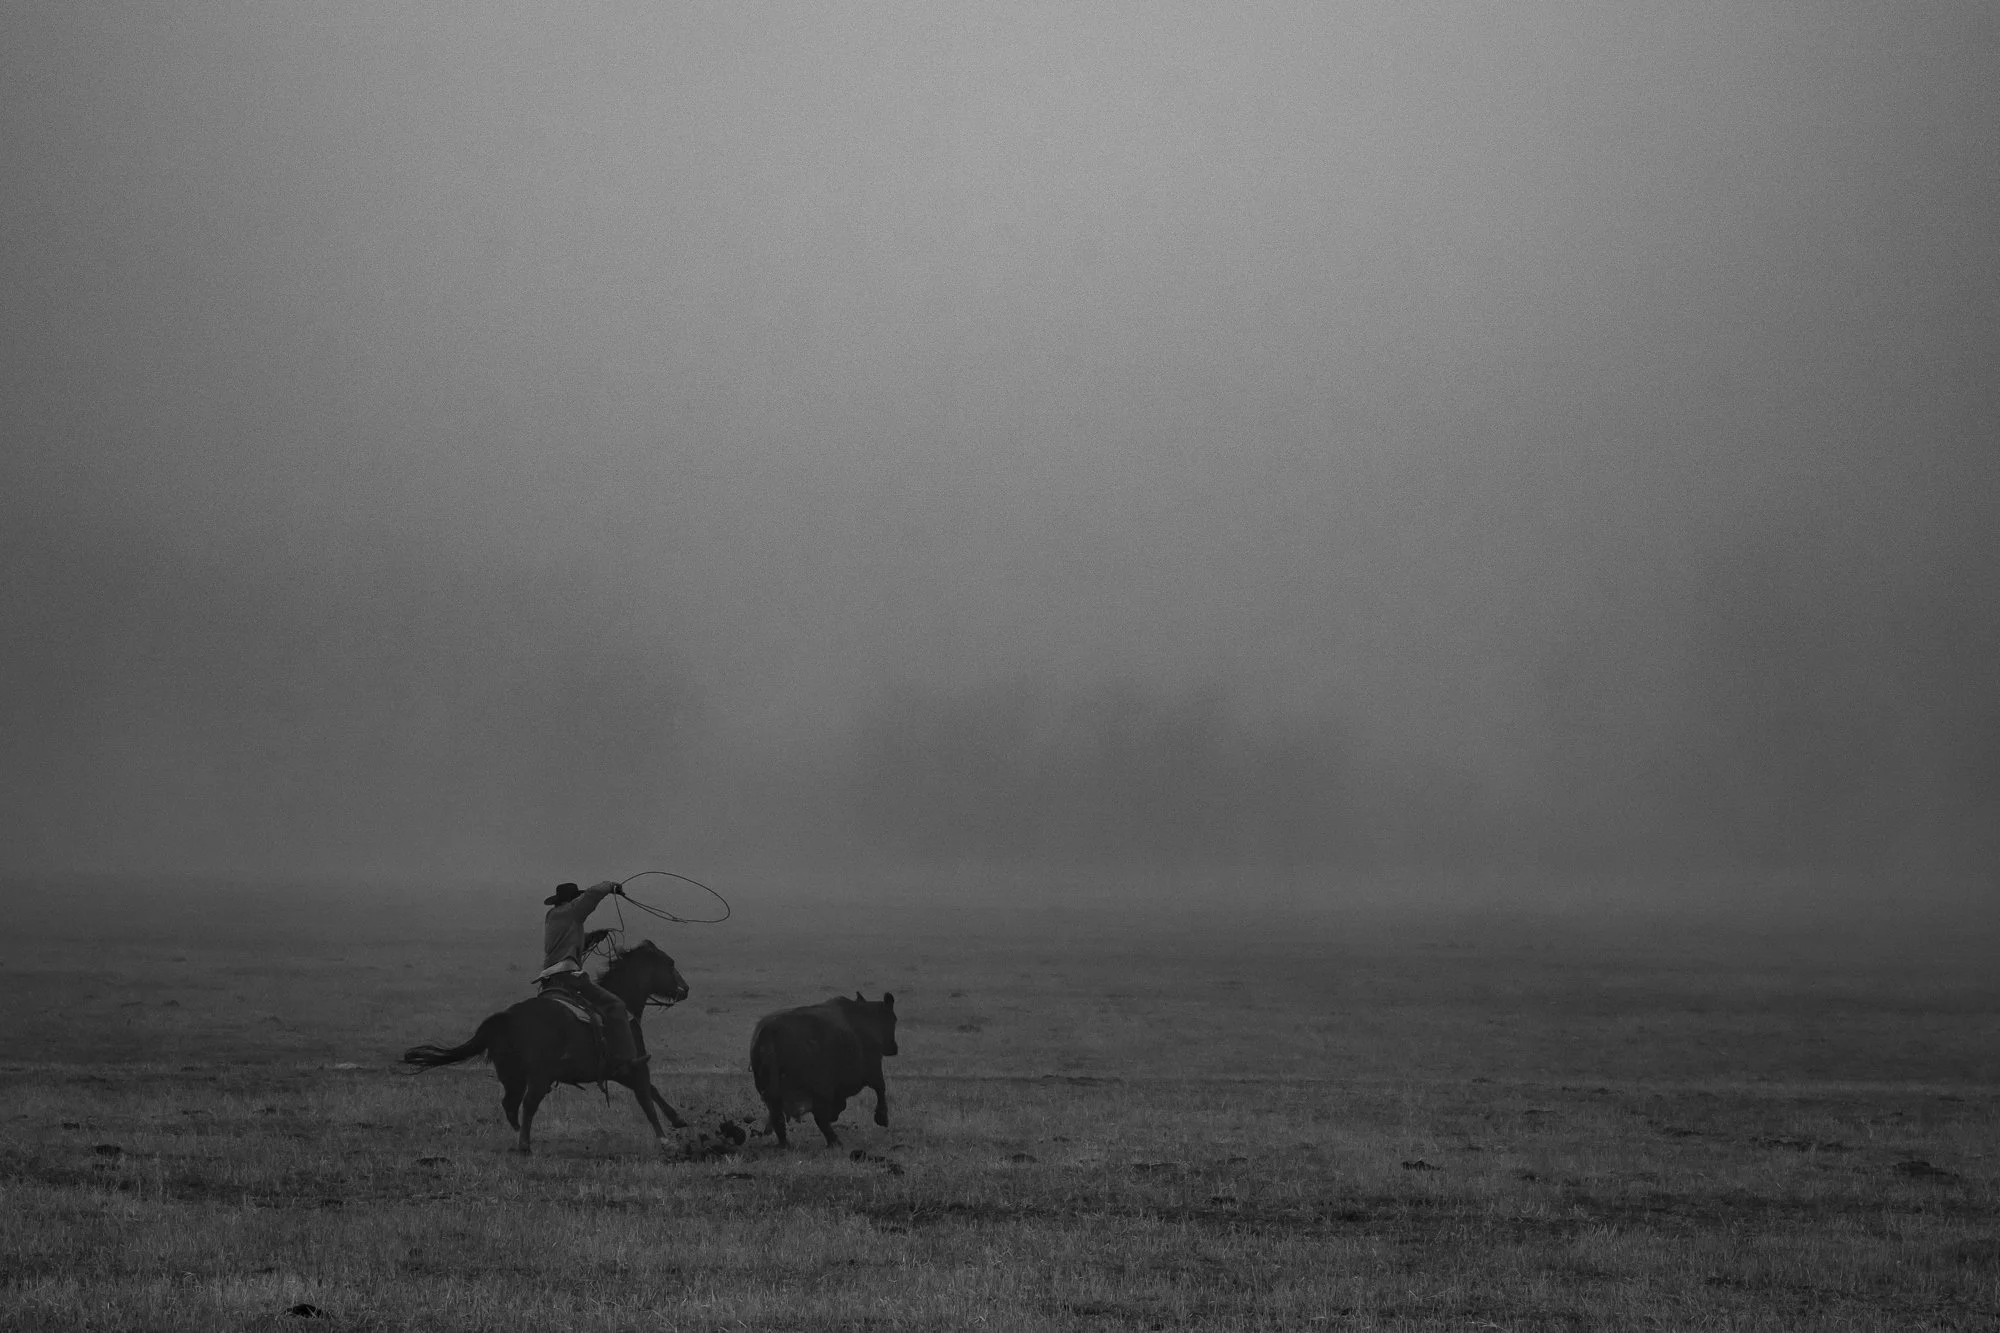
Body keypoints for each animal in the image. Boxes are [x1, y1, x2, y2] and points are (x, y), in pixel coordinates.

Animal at [749, 991, 898, 1148]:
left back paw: (785, 1144)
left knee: (777, 1117)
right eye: (894, 1020)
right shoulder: (873, 1068)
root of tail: (769, 1032)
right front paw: (882, 1118)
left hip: (773, 1096)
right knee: (819, 1116)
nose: (893, 1049)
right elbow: (881, 1088)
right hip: (819, 1091)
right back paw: (834, 1141)